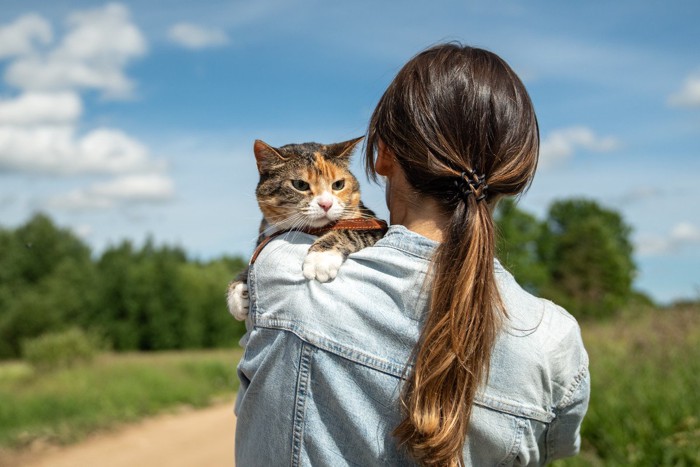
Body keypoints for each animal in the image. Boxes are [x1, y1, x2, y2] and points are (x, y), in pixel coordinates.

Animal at [227, 137, 386, 322]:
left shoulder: (374, 225)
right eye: (300, 185)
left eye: (338, 184)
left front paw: (320, 259)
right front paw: (238, 295)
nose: (326, 204)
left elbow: (349, 231)